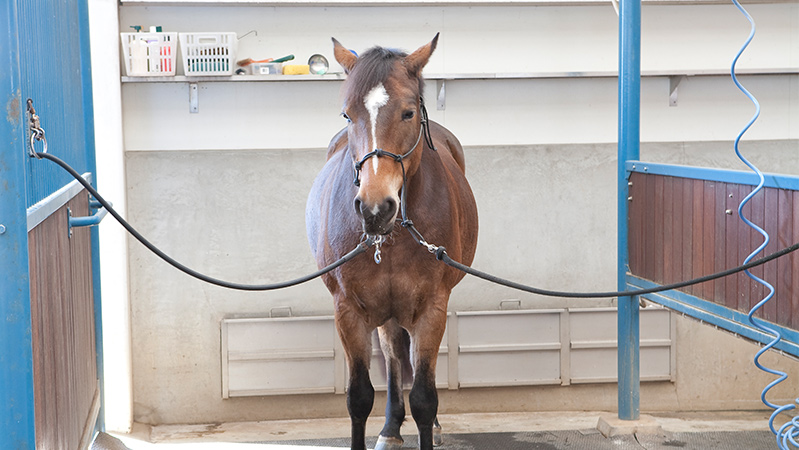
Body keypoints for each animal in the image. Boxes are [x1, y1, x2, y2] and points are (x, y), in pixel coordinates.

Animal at [306, 35, 478, 450]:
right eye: (348, 115)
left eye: (408, 113)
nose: (374, 208)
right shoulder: (348, 311)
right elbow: (359, 396)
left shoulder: (432, 308)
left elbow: (424, 397)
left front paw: (427, 423)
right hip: (384, 312)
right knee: (394, 357)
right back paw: (390, 428)